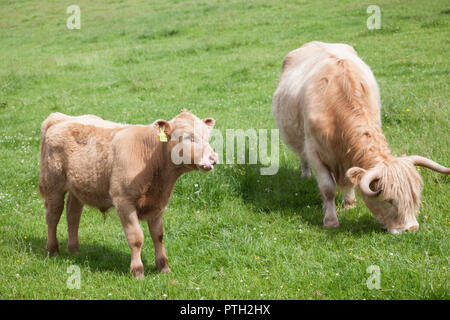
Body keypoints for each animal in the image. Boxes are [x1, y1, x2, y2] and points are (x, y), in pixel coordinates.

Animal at [39, 111, 219, 278]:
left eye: (207, 136)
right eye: (188, 137)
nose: (213, 158)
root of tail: (60, 117)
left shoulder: (158, 203)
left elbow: (158, 236)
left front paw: (163, 267)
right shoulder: (124, 202)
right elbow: (136, 238)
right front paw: (137, 271)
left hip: (78, 187)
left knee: (73, 216)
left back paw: (74, 249)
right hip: (53, 185)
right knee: (53, 216)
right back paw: (52, 250)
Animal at [272, 41, 448, 234]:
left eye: (414, 197)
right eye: (389, 200)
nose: (411, 228)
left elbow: (350, 178)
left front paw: (349, 204)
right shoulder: (314, 152)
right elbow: (327, 188)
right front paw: (331, 221)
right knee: (302, 156)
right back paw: (305, 175)